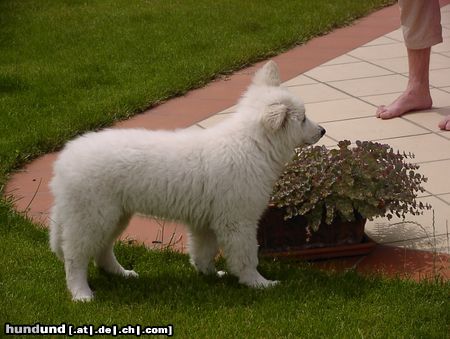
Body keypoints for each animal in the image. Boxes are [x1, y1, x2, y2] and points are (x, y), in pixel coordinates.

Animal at [49, 59, 326, 302]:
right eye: (302, 119)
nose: (323, 131)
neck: (252, 145)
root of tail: (64, 161)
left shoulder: (207, 221)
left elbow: (203, 251)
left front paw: (210, 274)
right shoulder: (238, 220)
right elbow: (246, 255)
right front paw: (259, 283)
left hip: (114, 215)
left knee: (102, 249)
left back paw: (122, 274)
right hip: (91, 216)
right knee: (75, 257)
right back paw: (81, 294)